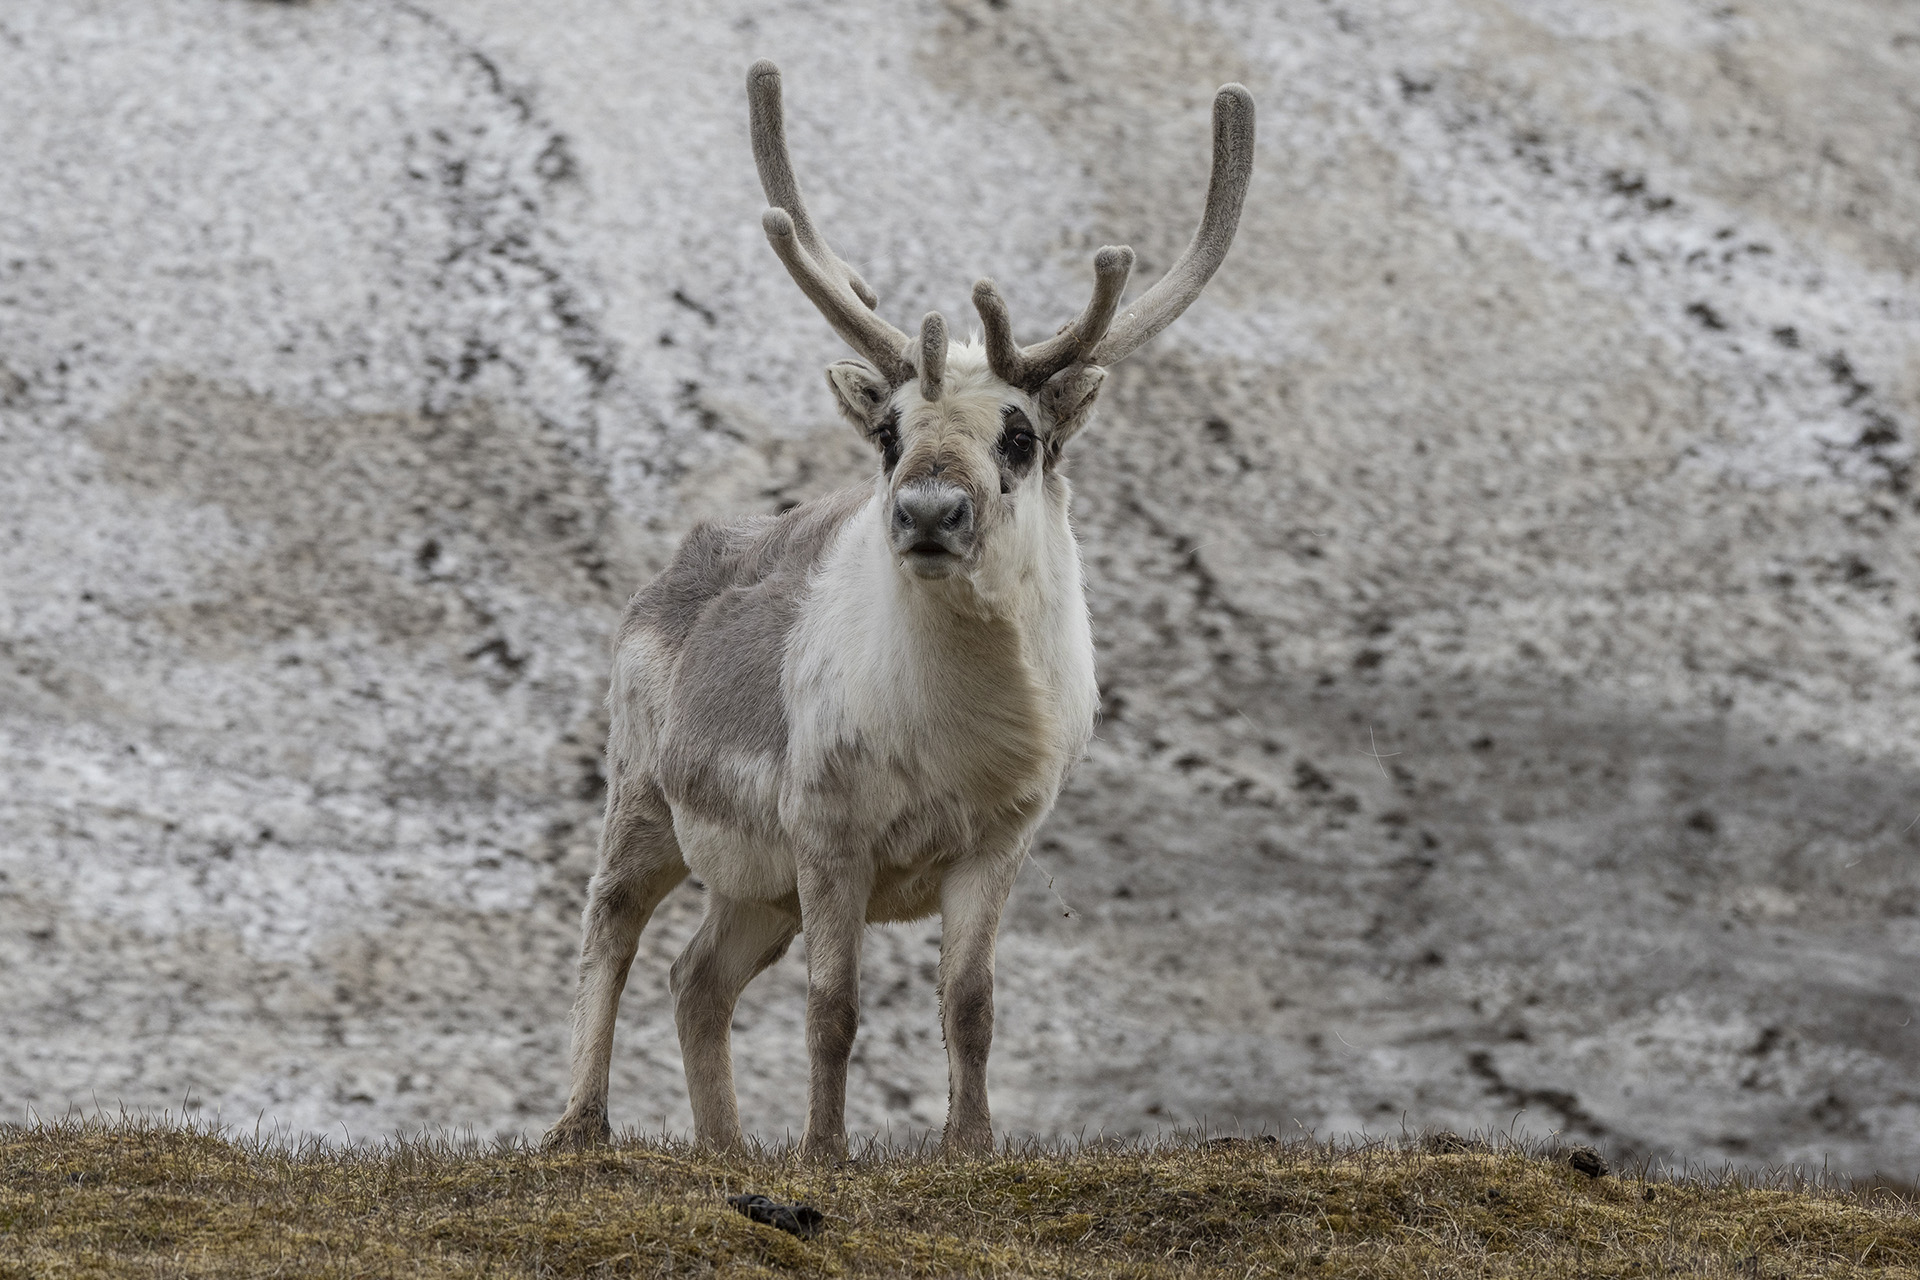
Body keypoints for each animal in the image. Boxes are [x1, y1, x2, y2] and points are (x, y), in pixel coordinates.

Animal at [544, 59, 1253, 1160]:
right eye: (889, 431)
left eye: (1020, 435)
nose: (926, 510)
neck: (952, 732)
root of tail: (666, 578)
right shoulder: (829, 832)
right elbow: (832, 1006)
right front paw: (824, 1153)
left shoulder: (999, 838)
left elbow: (971, 1002)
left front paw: (969, 1146)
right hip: (646, 796)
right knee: (610, 926)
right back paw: (581, 1125)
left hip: (757, 885)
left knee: (696, 976)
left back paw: (724, 1147)